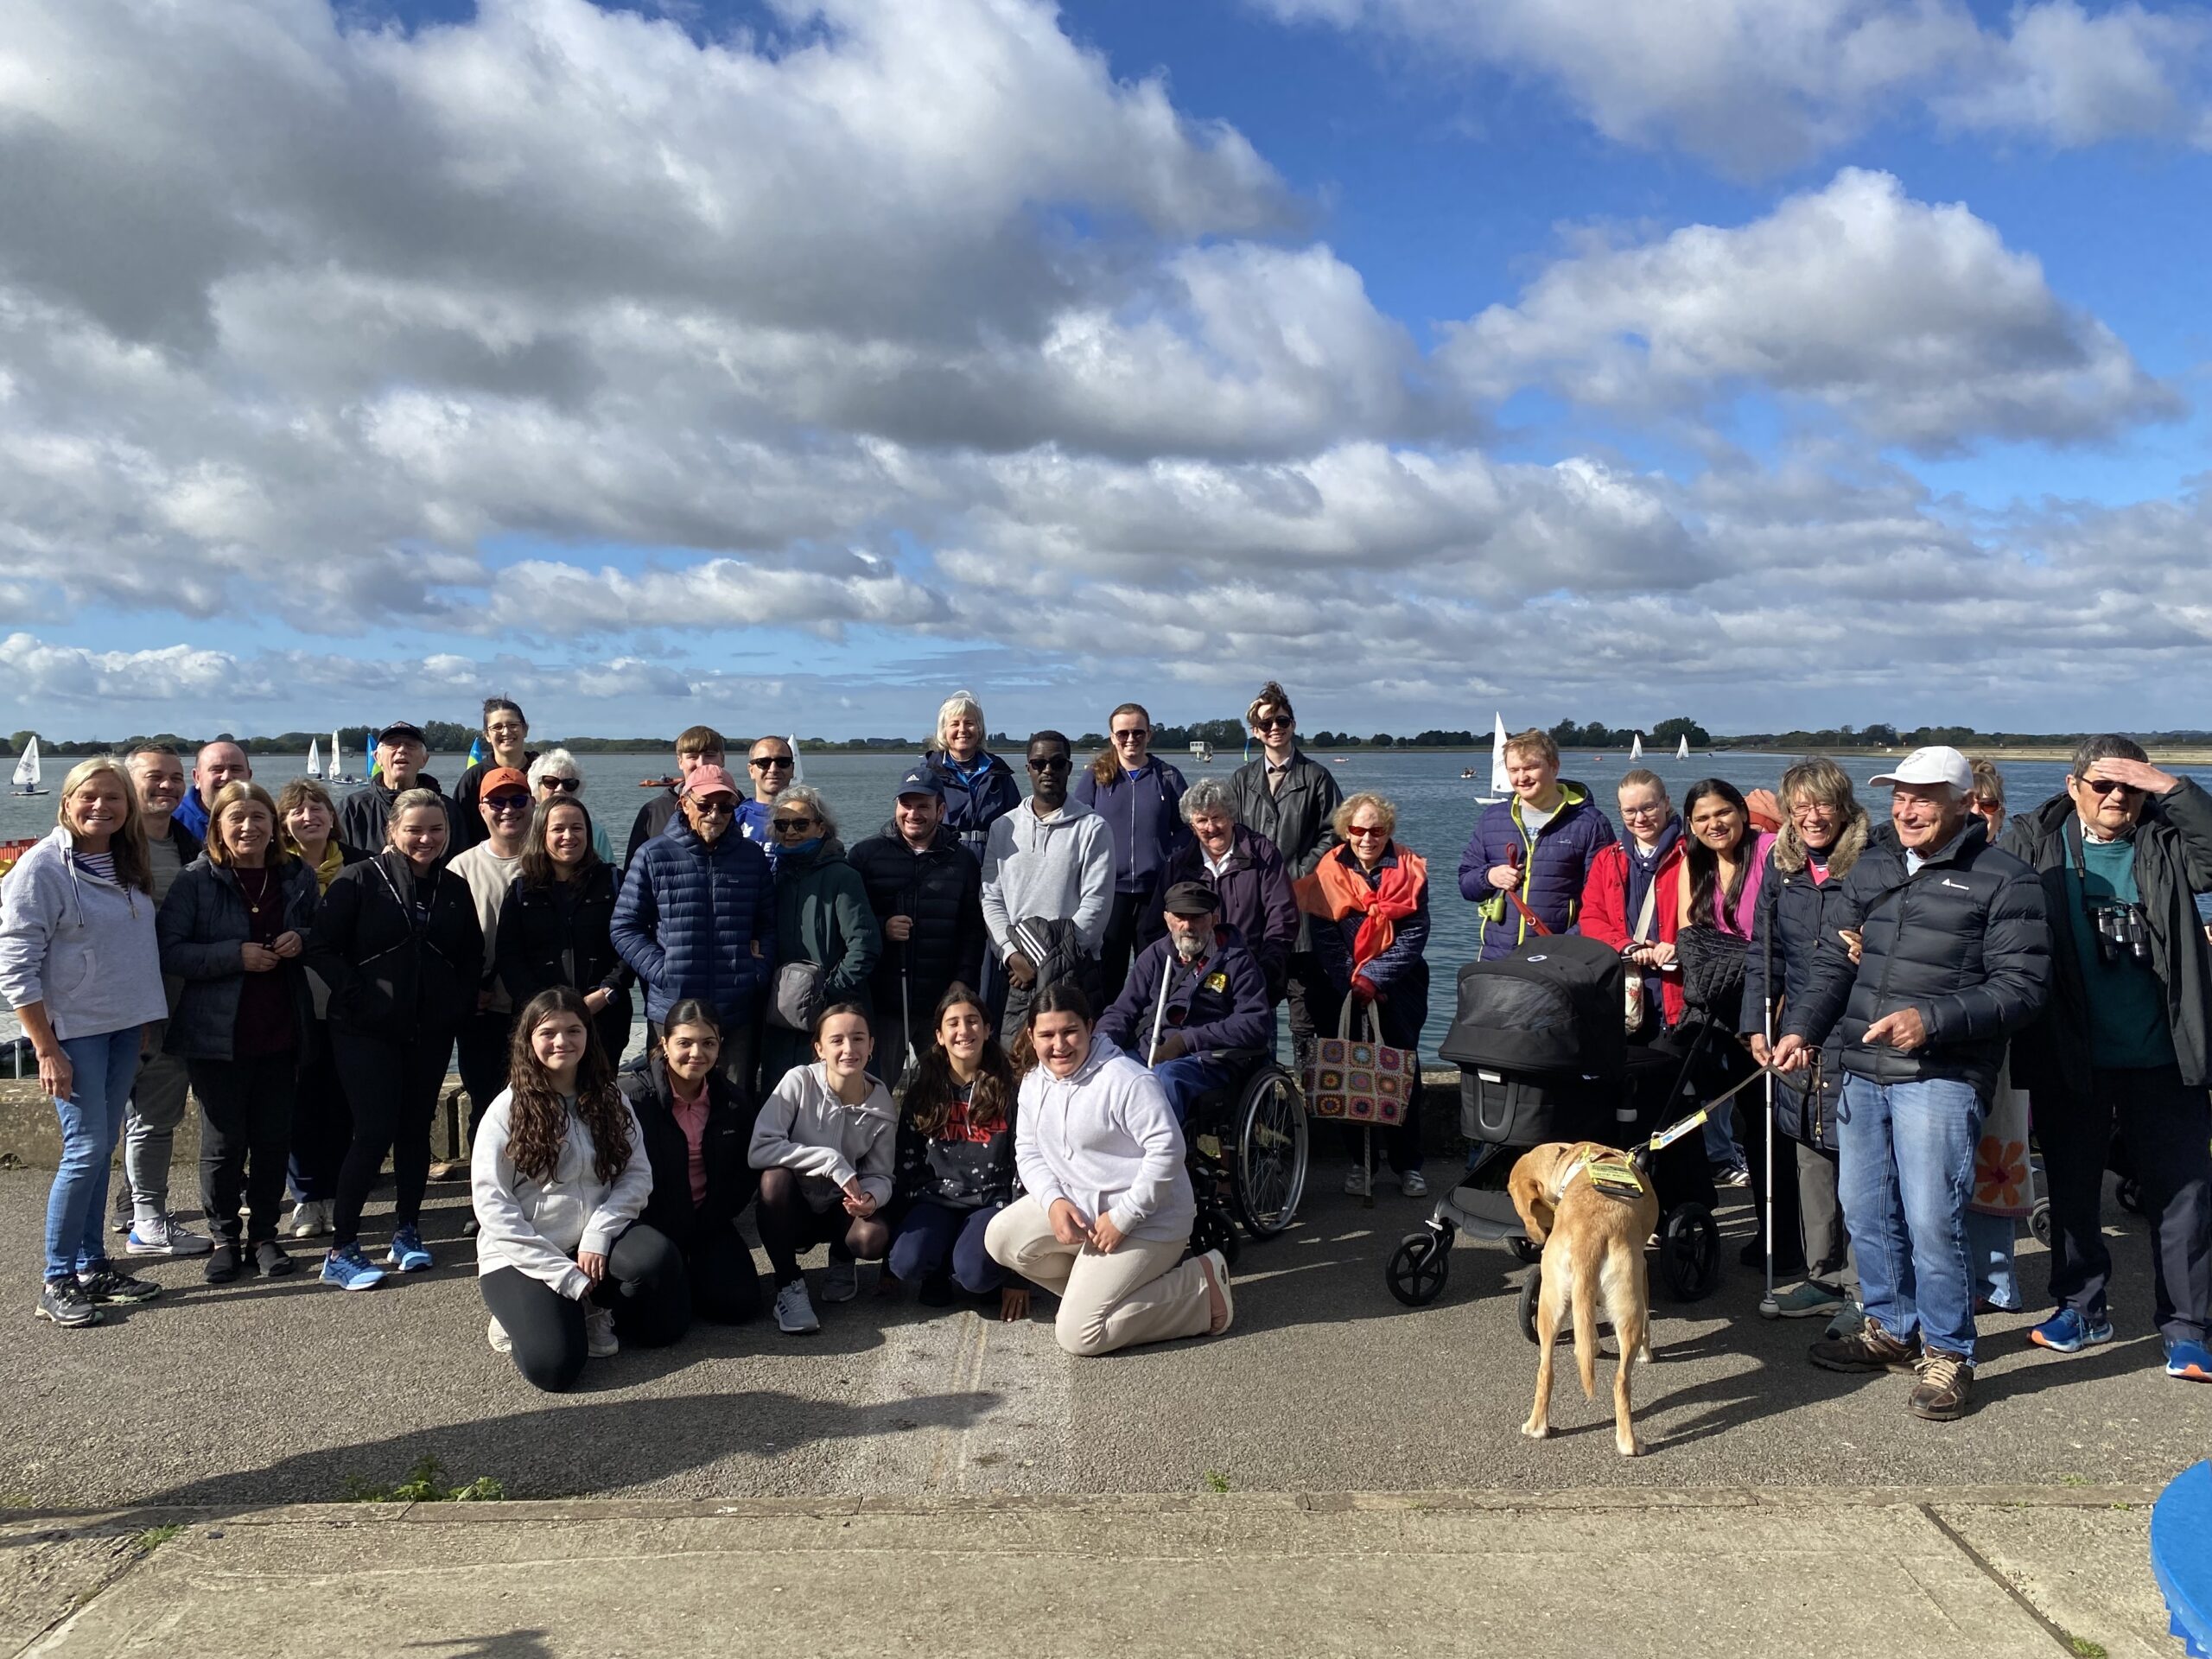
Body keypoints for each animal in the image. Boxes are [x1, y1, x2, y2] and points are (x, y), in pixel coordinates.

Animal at [1513, 1141, 1654, 1451]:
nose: (1532, 1240)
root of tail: (1589, 1234)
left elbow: (1586, 1330)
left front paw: (1594, 1347)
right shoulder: (1643, 1268)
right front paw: (1648, 1355)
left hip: (1549, 1305)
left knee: (1545, 1370)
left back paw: (1536, 1427)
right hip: (1630, 1309)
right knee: (1621, 1381)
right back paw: (1629, 1444)